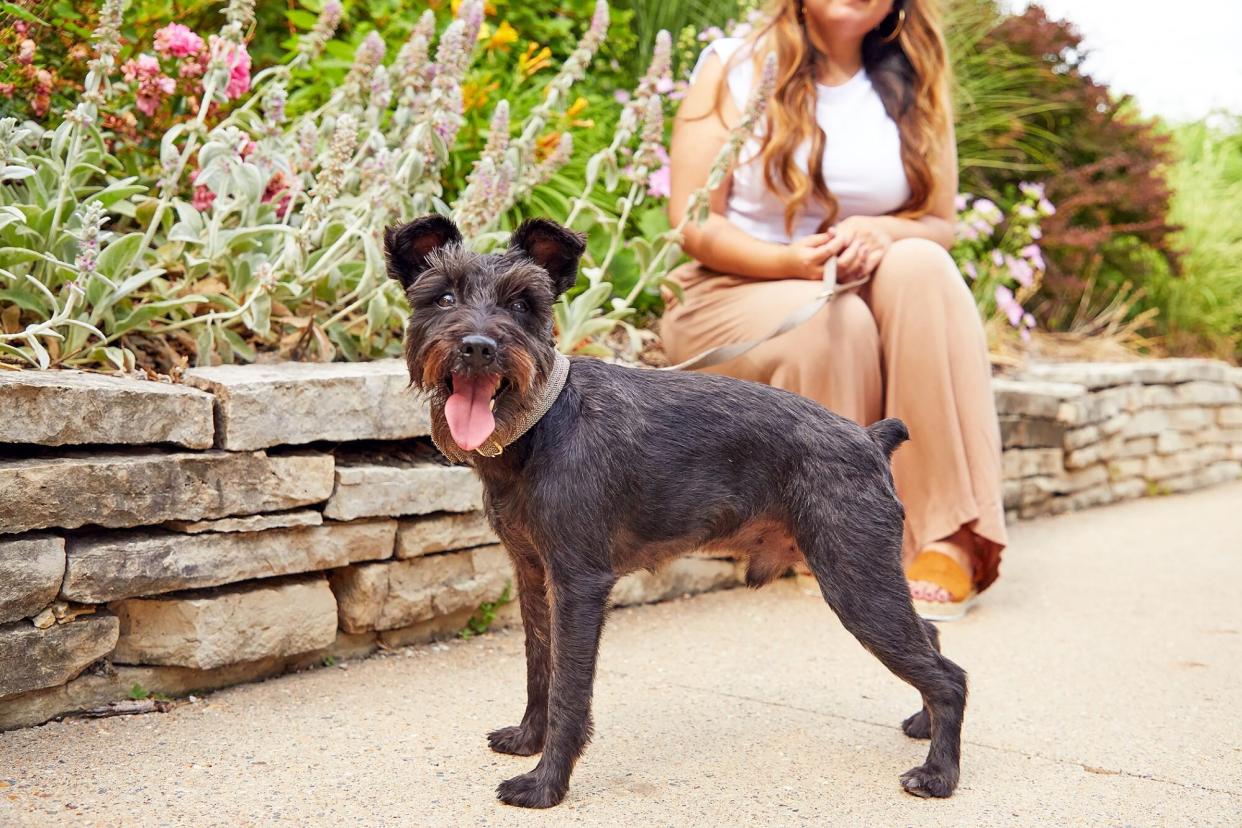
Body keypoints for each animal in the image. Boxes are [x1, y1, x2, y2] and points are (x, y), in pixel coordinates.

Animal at [382, 213, 963, 809]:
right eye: (443, 296)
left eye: (523, 304)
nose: (477, 347)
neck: (541, 424)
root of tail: (871, 438)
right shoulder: (533, 574)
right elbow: (539, 665)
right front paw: (527, 740)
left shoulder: (579, 583)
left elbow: (569, 686)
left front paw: (546, 784)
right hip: (868, 582)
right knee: (932, 639)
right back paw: (921, 725)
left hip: (857, 584)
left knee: (952, 677)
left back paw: (937, 774)